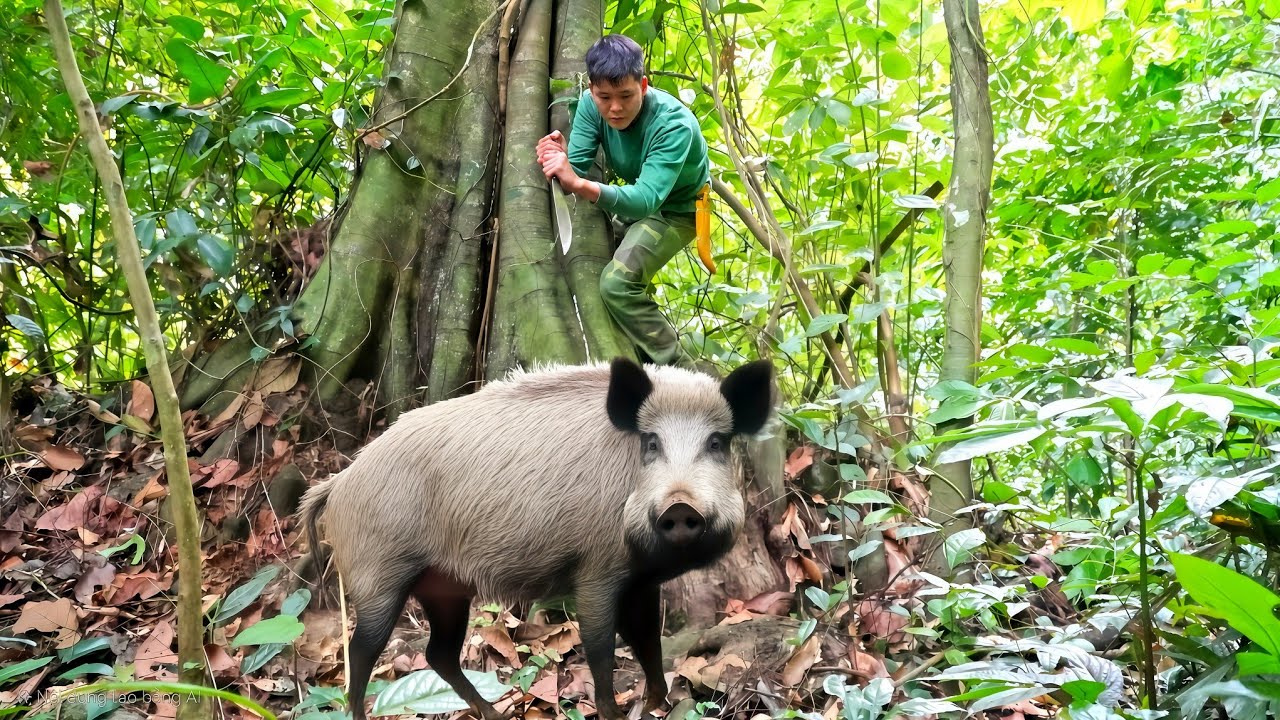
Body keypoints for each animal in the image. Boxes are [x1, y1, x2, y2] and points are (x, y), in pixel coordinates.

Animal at [296, 356, 776, 720]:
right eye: (651, 442)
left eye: (717, 442)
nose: (680, 506)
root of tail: (337, 483)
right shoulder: (596, 571)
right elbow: (601, 647)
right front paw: (617, 713)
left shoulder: (640, 581)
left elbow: (647, 640)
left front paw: (657, 703)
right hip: (378, 577)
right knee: (360, 654)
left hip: (443, 588)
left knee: (439, 654)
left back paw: (494, 714)